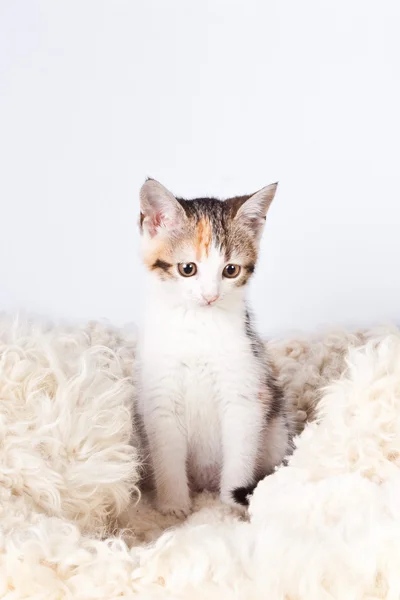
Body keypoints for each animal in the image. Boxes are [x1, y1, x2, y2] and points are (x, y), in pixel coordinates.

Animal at [137, 177, 290, 516]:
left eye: (230, 270)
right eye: (187, 269)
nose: (210, 296)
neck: (200, 326)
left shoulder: (245, 393)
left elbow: (240, 454)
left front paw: (230, 507)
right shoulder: (160, 396)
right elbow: (167, 454)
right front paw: (174, 507)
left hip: (278, 429)